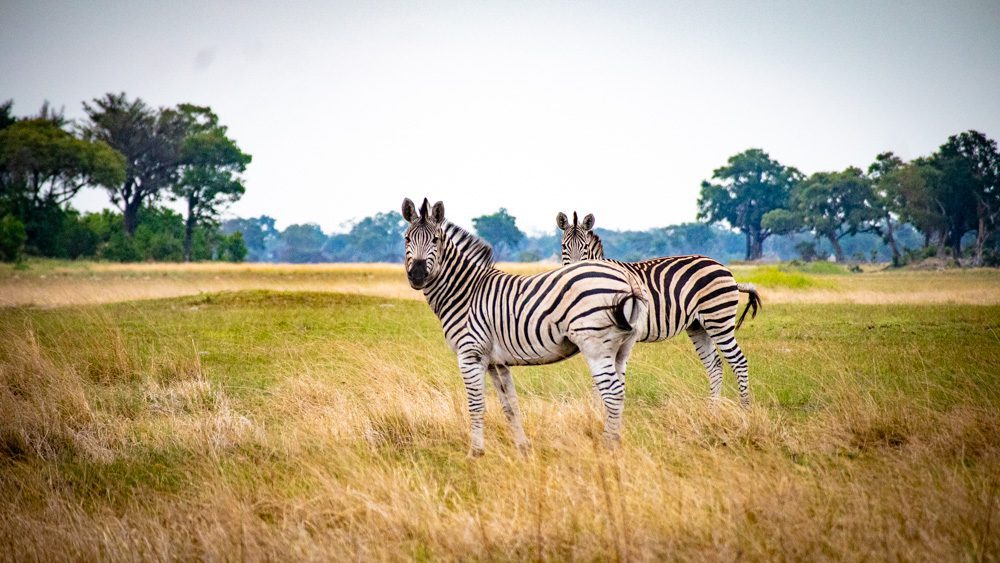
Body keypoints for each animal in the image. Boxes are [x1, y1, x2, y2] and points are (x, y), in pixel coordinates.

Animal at [404, 198, 648, 458]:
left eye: (435, 240)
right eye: (407, 238)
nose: (417, 275)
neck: (466, 292)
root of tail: (627, 278)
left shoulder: (470, 354)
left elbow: (476, 405)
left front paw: (475, 453)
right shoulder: (496, 362)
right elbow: (509, 405)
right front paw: (523, 449)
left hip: (595, 346)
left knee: (612, 394)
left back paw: (607, 448)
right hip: (622, 348)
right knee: (620, 391)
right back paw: (616, 445)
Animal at [556, 212, 756, 406]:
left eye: (584, 248)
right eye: (564, 247)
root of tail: (722, 267)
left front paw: (600, 409)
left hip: (718, 319)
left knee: (739, 362)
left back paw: (744, 409)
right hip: (698, 325)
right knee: (715, 365)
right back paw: (712, 410)